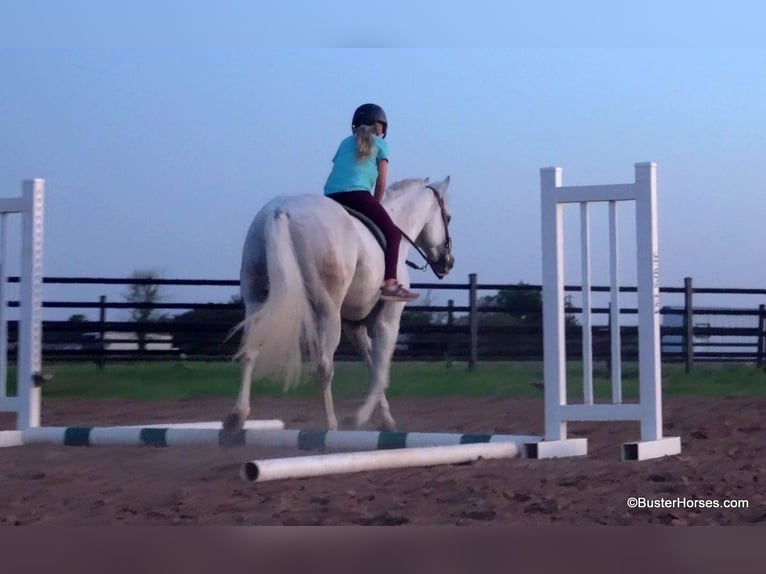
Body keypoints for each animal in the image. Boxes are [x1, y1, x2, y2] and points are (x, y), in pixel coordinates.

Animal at [219, 177, 452, 440]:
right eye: (448, 217)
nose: (448, 263)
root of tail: (281, 210)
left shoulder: (355, 327)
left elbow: (371, 364)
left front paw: (386, 421)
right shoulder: (387, 321)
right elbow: (381, 369)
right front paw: (359, 417)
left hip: (256, 300)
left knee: (249, 351)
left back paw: (236, 417)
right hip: (328, 311)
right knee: (324, 365)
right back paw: (330, 425)